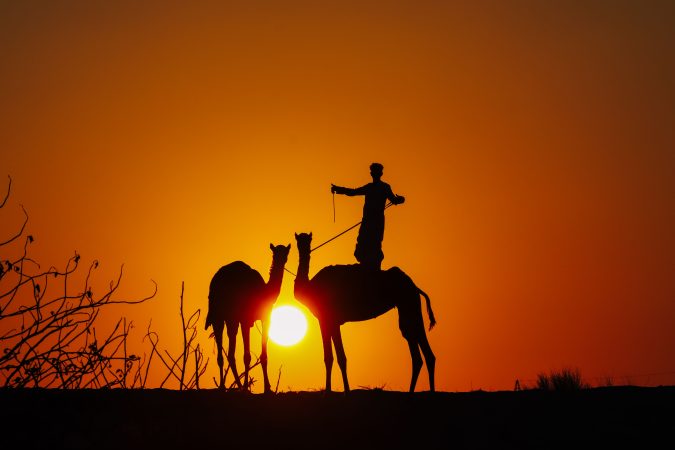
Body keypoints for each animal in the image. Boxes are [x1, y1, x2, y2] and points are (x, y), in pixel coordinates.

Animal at [205, 243, 291, 392]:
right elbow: (248, 356)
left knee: (228, 353)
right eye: (275, 253)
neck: (264, 292)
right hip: (224, 316)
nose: (281, 260)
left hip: (226, 318)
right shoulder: (248, 319)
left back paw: (229, 386)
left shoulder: (262, 319)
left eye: (286, 253)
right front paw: (251, 387)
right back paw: (232, 386)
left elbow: (263, 355)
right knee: (228, 352)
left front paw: (267, 388)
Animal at [293, 232, 436, 392]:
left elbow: (337, 357)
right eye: (298, 240)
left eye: (309, 239)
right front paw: (334, 389)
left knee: (416, 345)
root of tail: (415, 286)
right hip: (408, 307)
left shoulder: (328, 319)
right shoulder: (329, 321)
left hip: (409, 304)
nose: (304, 247)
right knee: (419, 347)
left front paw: (341, 391)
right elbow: (331, 357)